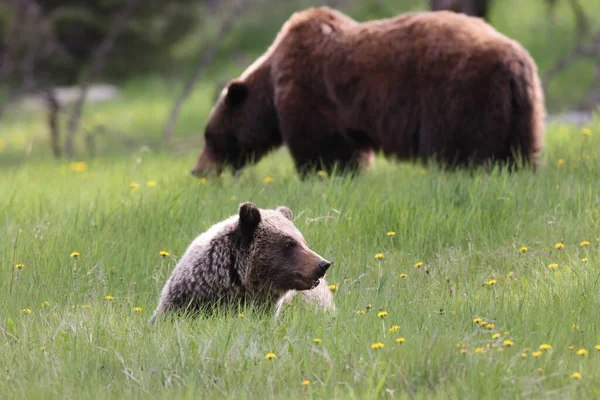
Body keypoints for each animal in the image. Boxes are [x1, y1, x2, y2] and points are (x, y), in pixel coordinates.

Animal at [190, 5, 548, 178]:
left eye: (209, 136)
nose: (197, 171)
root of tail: (516, 61)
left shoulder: (310, 90)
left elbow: (322, 146)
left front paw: (326, 174)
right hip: (523, 111)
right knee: (521, 152)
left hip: (462, 96)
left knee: (464, 149)